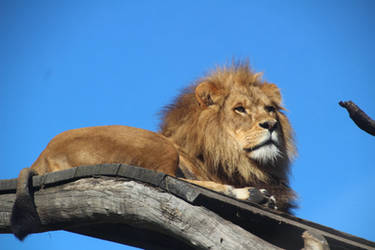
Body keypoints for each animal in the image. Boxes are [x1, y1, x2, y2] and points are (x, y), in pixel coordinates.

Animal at [11, 62, 296, 240]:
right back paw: (251, 194)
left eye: (270, 109)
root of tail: (41, 154)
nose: (270, 125)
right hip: (158, 146)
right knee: (172, 179)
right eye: (240, 109)